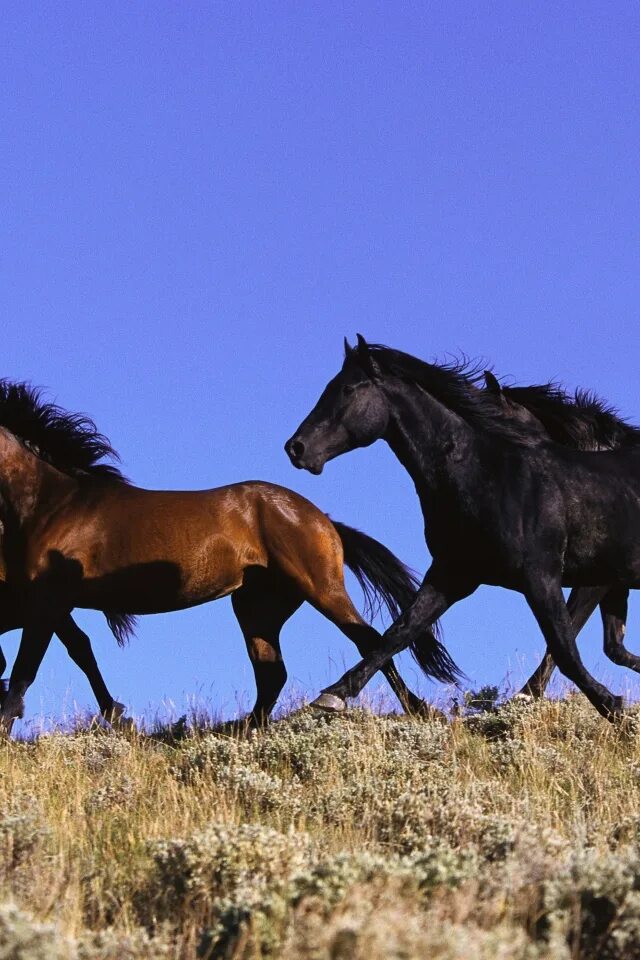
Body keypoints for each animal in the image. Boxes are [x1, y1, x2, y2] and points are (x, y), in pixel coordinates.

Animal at [0, 382, 450, 728]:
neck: (54, 503)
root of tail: (322, 519)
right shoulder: (53, 603)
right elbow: (76, 652)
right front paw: (116, 716)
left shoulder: (48, 599)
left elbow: (26, 667)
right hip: (257, 605)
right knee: (272, 671)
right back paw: (245, 730)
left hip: (319, 588)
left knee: (368, 640)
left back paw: (410, 709)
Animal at [286, 334, 640, 716]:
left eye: (348, 389)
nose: (296, 448)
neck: (491, 474)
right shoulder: (453, 574)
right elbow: (398, 632)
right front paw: (332, 695)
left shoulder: (544, 576)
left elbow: (565, 647)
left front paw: (612, 708)